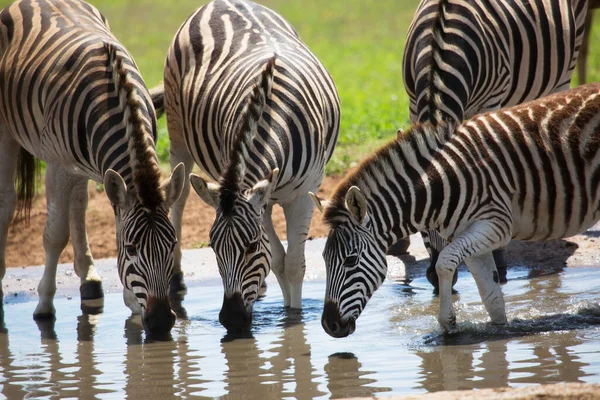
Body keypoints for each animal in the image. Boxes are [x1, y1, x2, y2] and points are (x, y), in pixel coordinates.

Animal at [0, 0, 185, 336]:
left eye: (173, 245)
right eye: (132, 249)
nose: (162, 321)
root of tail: (32, 2)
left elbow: (109, 220)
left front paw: (131, 301)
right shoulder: (57, 165)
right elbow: (55, 235)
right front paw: (44, 306)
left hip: (80, 167)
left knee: (78, 204)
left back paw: (89, 279)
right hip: (8, 130)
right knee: (7, 201)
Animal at [164, 0, 340, 332]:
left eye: (251, 246)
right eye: (213, 248)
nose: (231, 320)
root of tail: (219, 3)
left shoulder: (302, 195)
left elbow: (292, 263)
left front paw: (293, 315)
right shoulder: (258, 196)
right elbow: (277, 260)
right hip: (176, 127)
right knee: (178, 198)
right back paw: (176, 280)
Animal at [312, 82, 600, 338]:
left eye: (350, 260)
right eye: (324, 258)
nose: (329, 326)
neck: (442, 181)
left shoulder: (496, 224)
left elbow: (445, 261)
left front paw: (448, 322)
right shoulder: (478, 239)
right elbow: (492, 299)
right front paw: (497, 332)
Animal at [398, 0, 592, 292]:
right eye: (419, 219)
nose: (437, 281)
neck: (440, 44)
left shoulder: (491, 99)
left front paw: (497, 261)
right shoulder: (412, 103)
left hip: (565, 62)